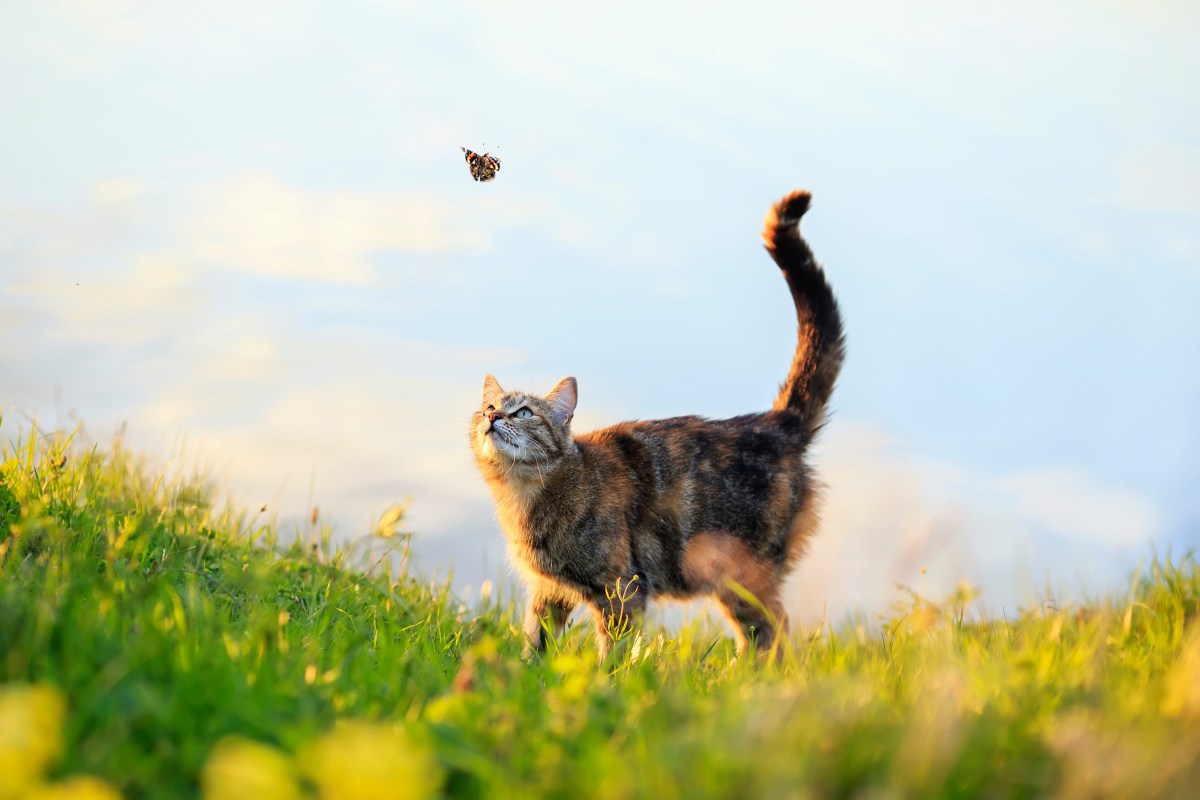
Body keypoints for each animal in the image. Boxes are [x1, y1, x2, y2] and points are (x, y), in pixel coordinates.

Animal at [465, 189, 844, 662]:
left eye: (524, 413)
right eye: (488, 406)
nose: (493, 417)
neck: (524, 498)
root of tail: (775, 421)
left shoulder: (622, 588)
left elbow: (612, 653)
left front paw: (607, 677)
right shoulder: (547, 591)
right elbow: (536, 642)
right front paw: (525, 670)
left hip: (740, 576)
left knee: (773, 633)